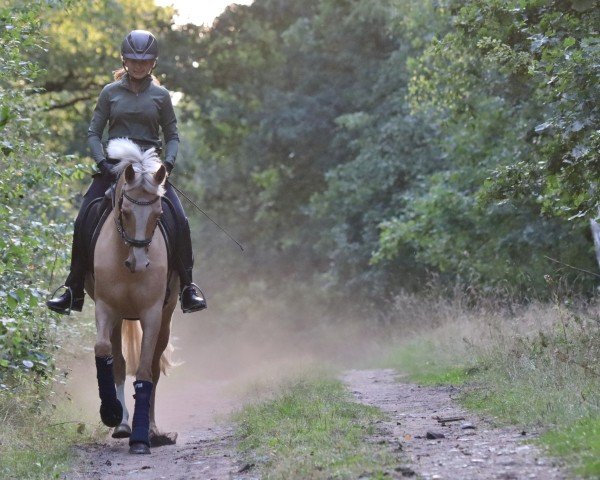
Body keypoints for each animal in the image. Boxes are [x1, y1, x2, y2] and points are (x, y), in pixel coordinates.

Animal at [83, 138, 179, 454]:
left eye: (158, 214)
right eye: (124, 211)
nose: (138, 263)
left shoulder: (152, 313)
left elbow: (146, 371)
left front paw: (141, 437)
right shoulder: (105, 308)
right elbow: (105, 353)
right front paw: (112, 414)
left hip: (166, 318)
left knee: (152, 369)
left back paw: (149, 429)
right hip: (118, 319)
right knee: (119, 362)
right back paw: (122, 424)